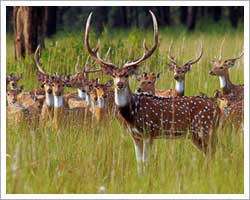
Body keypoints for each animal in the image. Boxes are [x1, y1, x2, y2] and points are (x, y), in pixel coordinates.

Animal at [84, 10, 221, 174]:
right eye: (113, 75)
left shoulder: (150, 132)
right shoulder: (135, 136)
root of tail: (218, 109)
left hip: (205, 128)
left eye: (126, 75)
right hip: (197, 134)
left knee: (212, 153)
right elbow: (138, 162)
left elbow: (145, 161)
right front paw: (140, 177)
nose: (119, 84)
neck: (132, 113)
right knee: (210, 154)